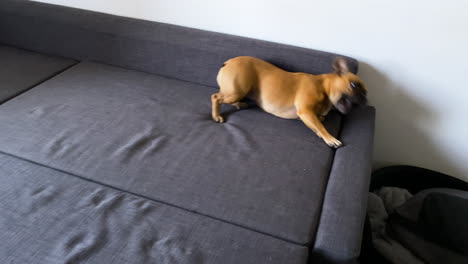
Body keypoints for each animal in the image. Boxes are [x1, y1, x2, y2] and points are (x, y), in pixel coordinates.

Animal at [210, 56, 368, 147]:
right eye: (354, 85)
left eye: (365, 91)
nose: (365, 98)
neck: (323, 86)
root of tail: (228, 62)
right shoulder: (305, 111)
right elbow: (321, 126)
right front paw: (330, 138)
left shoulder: (308, 115)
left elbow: (318, 123)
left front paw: (320, 132)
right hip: (237, 90)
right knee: (216, 97)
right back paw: (217, 115)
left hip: (238, 91)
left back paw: (239, 104)